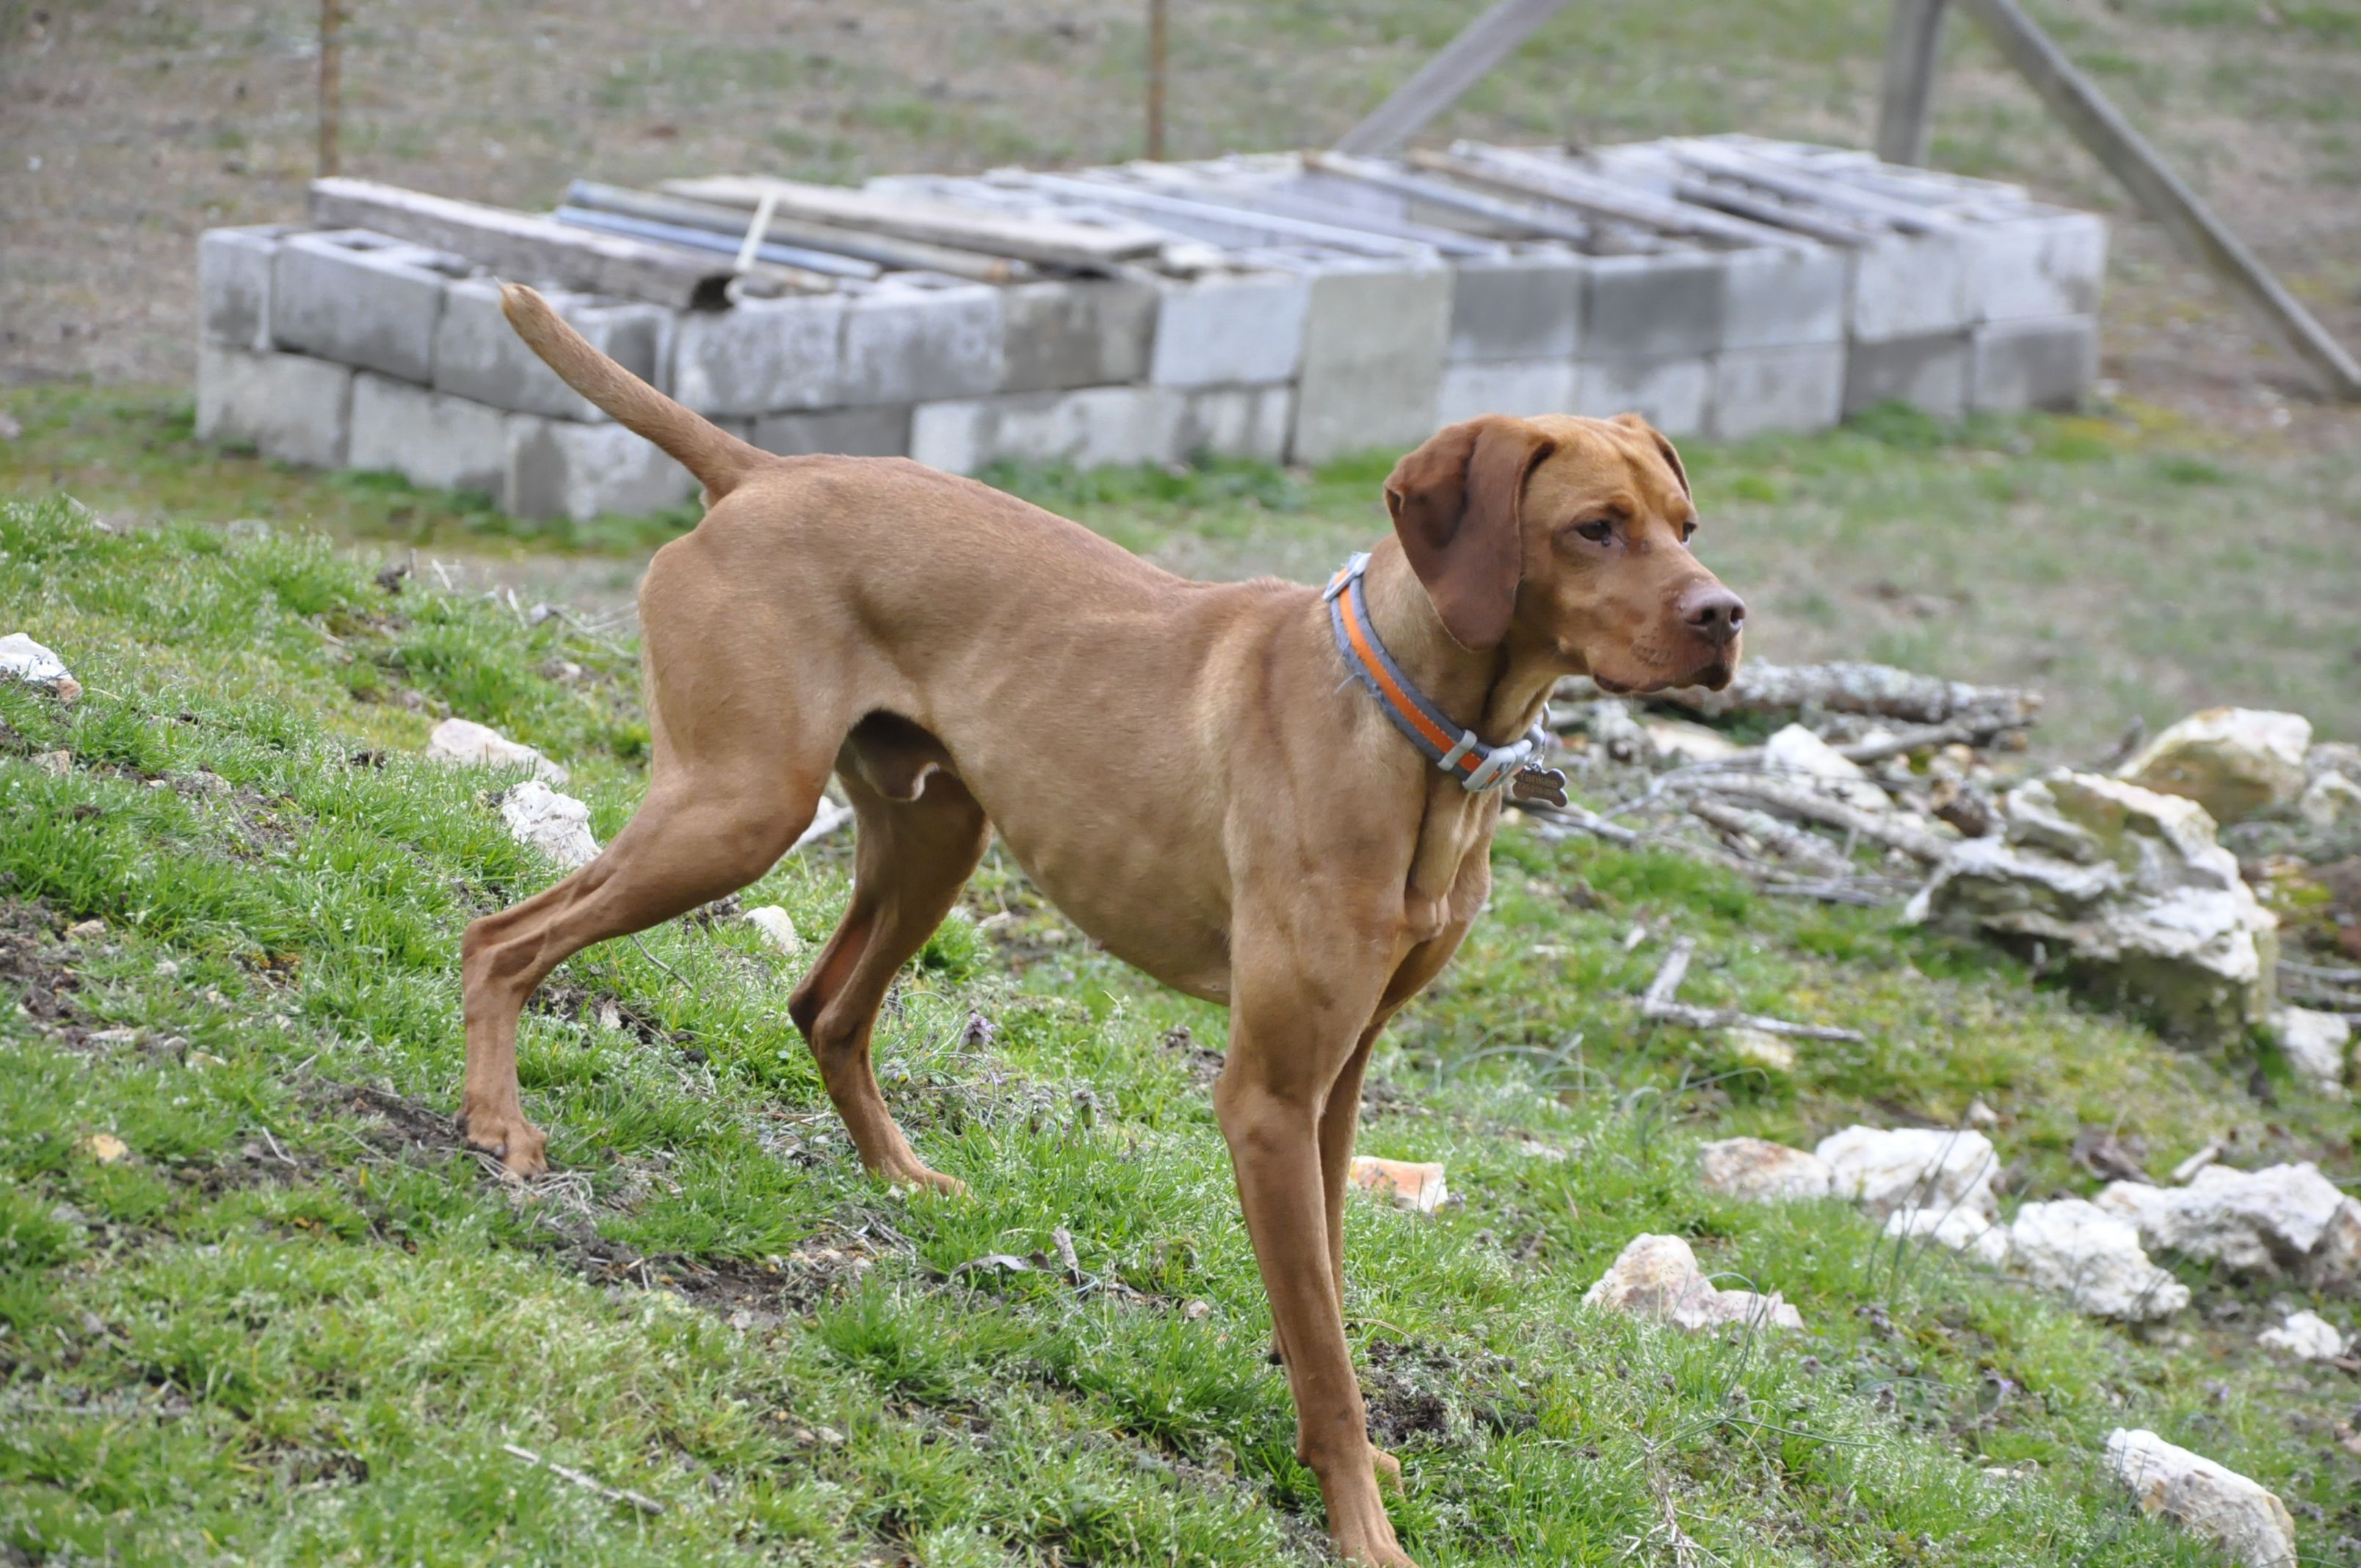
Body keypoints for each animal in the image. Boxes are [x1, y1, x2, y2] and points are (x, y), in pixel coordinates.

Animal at [459, 283, 1743, 1566]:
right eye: (1595, 528)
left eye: (1685, 521)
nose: (1725, 617)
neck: (1418, 730)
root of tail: (764, 470)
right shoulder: (1269, 1096)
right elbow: (1327, 1349)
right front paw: (1363, 1525)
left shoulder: (1337, 1084)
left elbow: (1324, 1298)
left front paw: (1354, 1457)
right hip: (737, 809)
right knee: (502, 939)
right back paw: (496, 1124)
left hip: (935, 836)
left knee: (823, 1008)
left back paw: (900, 1177)